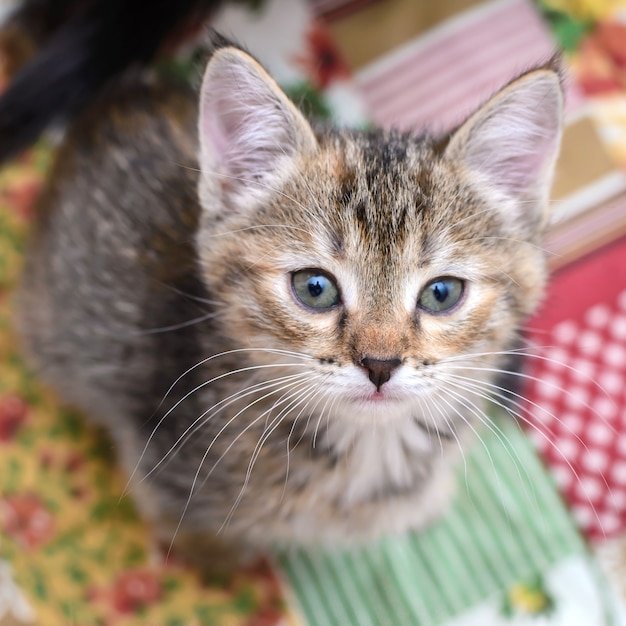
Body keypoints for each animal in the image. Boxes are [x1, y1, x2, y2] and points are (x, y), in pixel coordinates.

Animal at [15, 40, 560, 560]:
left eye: (441, 293)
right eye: (314, 288)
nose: (380, 364)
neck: (370, 449)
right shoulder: (161, 476)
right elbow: (201, 545)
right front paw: (223, 565)